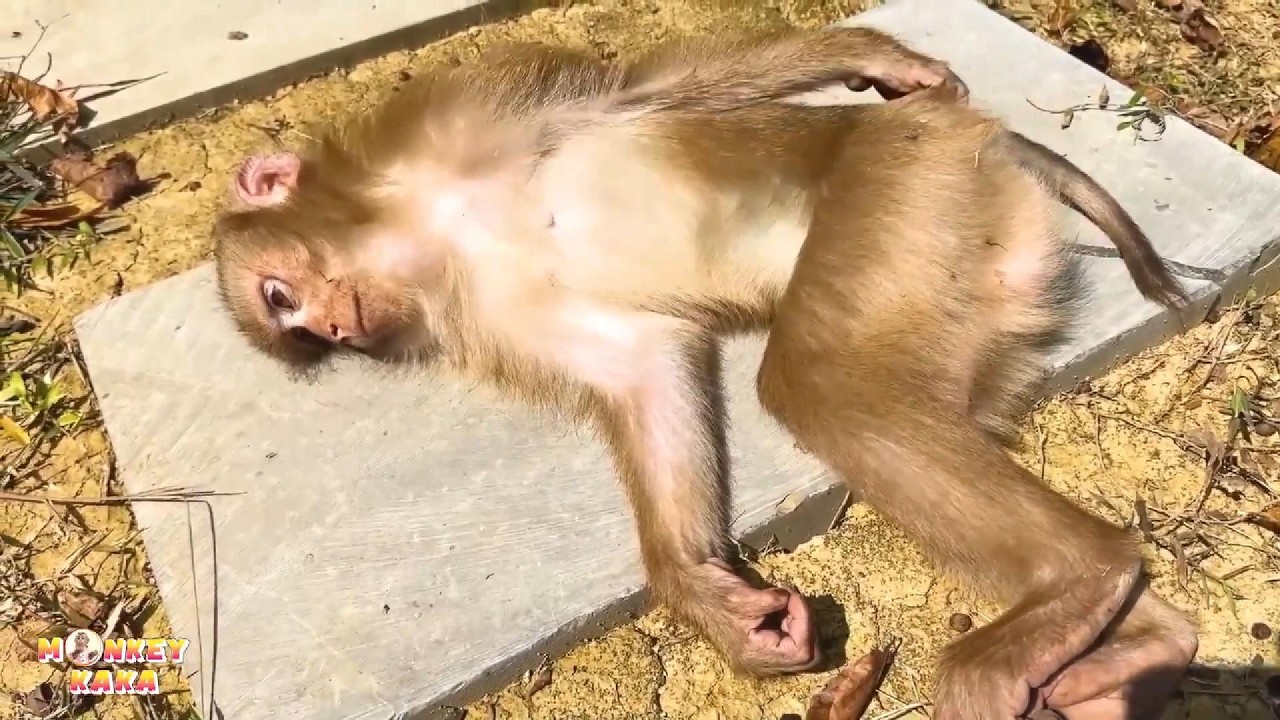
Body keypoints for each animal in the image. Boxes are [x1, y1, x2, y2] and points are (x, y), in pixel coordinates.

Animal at [210, 27, 1195, 719]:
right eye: (301, 334)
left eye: (279, 295)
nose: (333, 326)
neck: (434, 234)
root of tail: (981, 153)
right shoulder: (501, 310)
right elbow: (646, 372)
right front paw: (713, 602)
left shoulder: (469, 123)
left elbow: (644, 91)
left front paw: (872, 52)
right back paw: (1134, 652)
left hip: (910, 180)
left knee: (816, 381)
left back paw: (1081, 580)